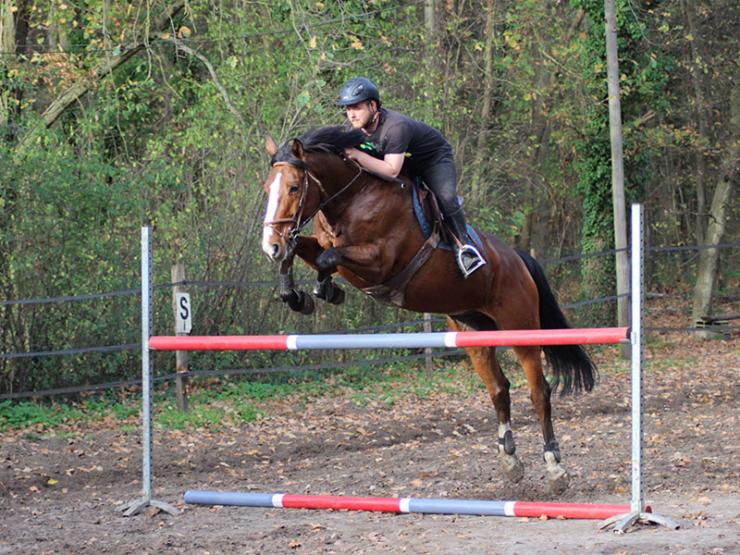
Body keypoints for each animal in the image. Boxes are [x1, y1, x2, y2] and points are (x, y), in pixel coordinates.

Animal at [258, 126, 596, 496]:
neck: (351, 199)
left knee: (539, 392)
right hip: (472, 331)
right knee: (499, 390)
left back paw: (555, 469)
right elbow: (305, 251)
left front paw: (323, 288)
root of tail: (517, 259)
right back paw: (510, 463)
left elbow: (326, 258)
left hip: (520, 327)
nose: (269, 246)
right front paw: (296, 294)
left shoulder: (379, 262)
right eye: (268, 188)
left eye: (294, 187)